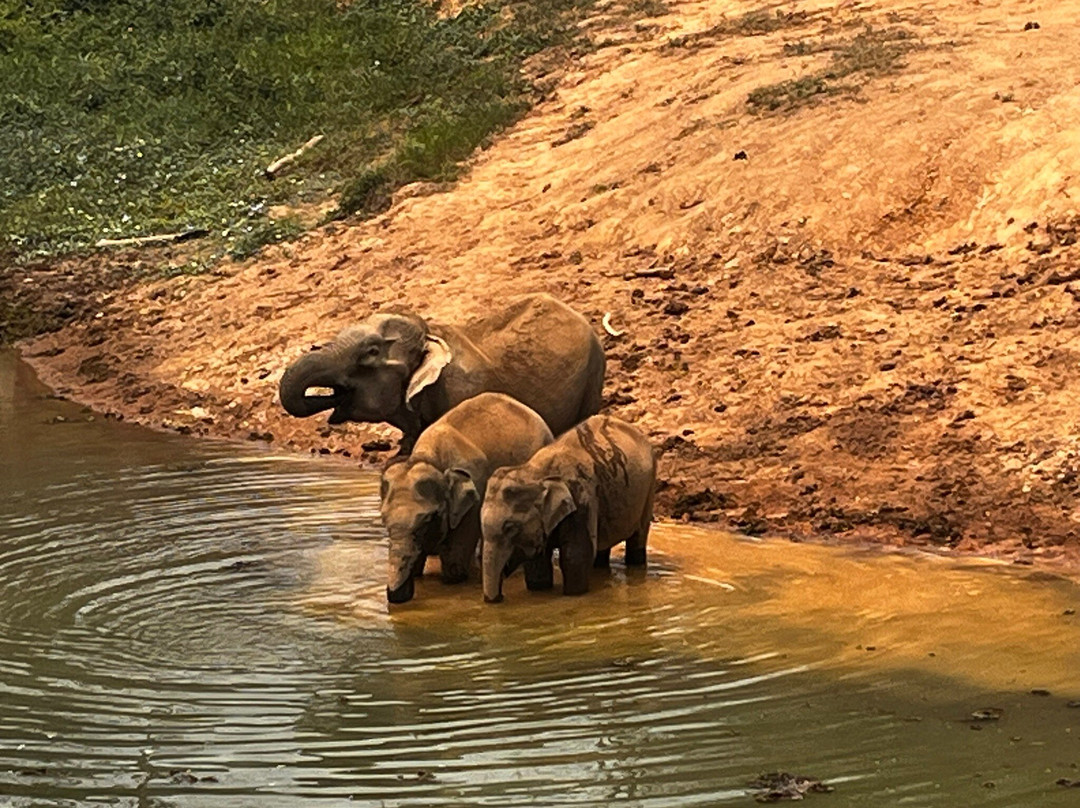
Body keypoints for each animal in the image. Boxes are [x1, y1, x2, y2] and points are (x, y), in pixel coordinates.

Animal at [381, 392, 554, 604]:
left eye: (427, 520)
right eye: (384, 520)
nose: (397, 596)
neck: (430, 459)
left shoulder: (474, 493)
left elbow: (455, 564)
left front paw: (454, 577)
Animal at [480, 415, 656, 602]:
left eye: (510, 528)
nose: (498, 598)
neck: (535, 472)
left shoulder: (582, 498)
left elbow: (576, 555)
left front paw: (573, 595)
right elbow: (537, 561)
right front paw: (539, 590)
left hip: (649, 488)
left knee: (638, 537)